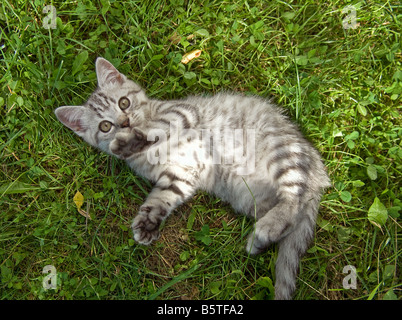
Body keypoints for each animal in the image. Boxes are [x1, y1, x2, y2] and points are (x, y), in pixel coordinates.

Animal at [55, 57, 330, 300]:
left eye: (124, 103)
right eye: (105, 126)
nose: (124, 123)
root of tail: (317, 174)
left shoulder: (182, 112)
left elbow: (156, 128)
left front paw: (131, 140)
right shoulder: (181, 173)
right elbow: (162, 197)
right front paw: (148, 222)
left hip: (281, 153)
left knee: (294, 199)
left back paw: (268, 227)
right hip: (251, 197)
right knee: (292, 223)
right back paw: (260, 240)